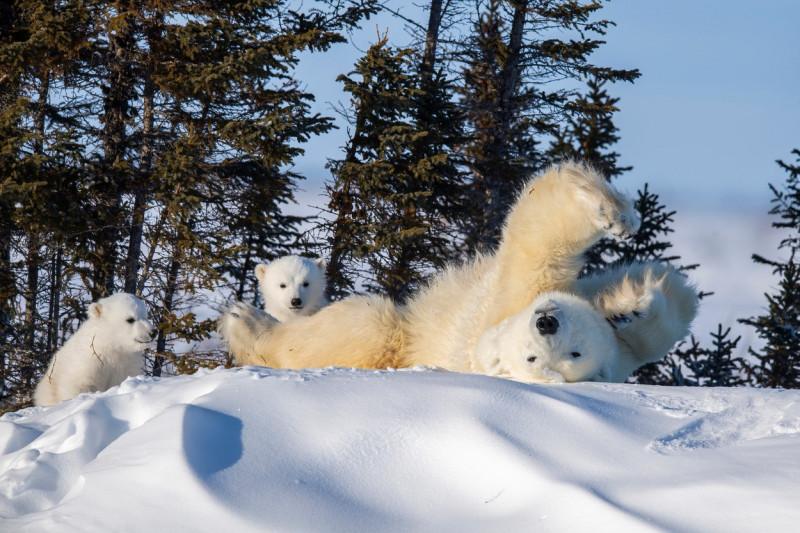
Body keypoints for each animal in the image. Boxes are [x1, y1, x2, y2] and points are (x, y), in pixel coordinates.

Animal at [216, 162, 696, 382]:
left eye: (569, 355)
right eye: (533, 353)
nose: (546, 322)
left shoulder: (493, 318)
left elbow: (534, 250)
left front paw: (599, 207)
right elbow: (670, 300)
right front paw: (632, 297)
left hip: (395, 341)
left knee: (368, 324)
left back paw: (247, 321)